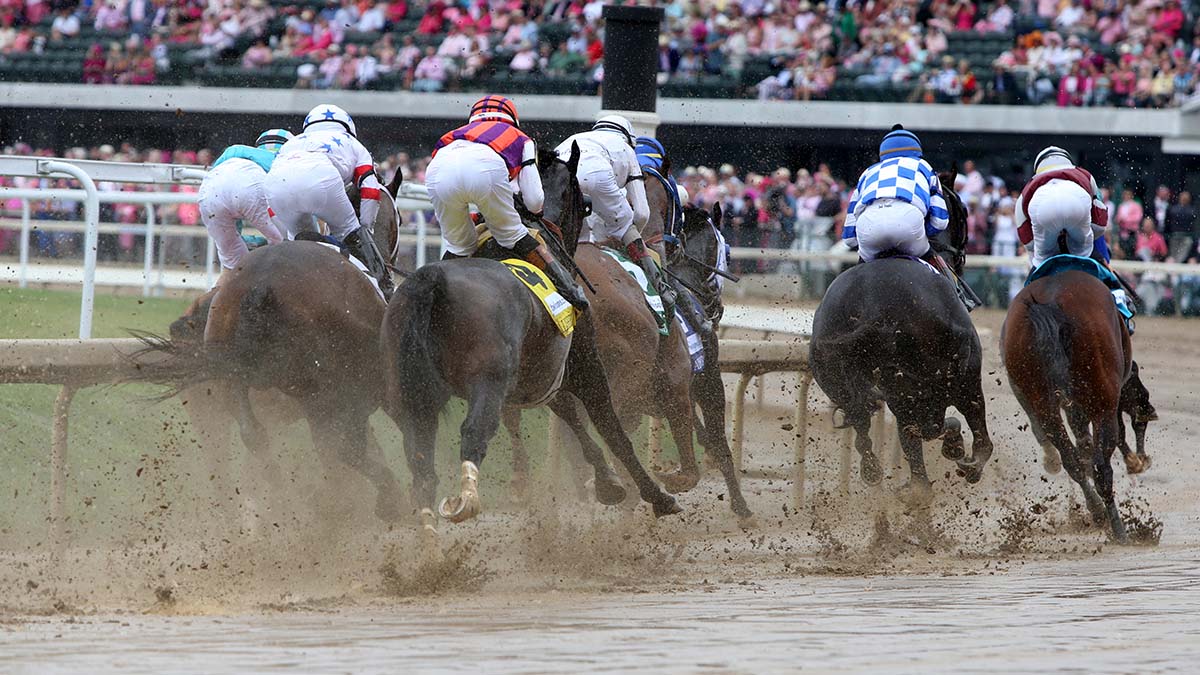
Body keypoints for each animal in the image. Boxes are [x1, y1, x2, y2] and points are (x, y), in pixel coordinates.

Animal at [384, 144, 686, 528]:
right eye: (584, 201)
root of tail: (431, 283)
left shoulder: (547, 374)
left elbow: (572, 418)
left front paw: (607, 480)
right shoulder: (586, 366)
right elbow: (610, 427)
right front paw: (657, 496)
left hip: (410, 389)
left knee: (419, 455)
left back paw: (428, 531)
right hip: (487, 381)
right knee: (474, 432)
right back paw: (465, 501)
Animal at [806, 168, 993, 504]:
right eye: (962, 210)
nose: (962, 257)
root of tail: (871, 309)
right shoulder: (961, 376)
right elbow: (958, 430)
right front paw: (961, 453)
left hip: (836, 375)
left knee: (865, 427)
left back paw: (878, 472)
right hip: (936, 378)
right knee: (939, 425)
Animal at [1003, 254, 1132, 538]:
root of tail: (1049, 304)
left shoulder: (1070, 404)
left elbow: (1081, 446)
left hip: (1041, 400)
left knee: (1071, 458)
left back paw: (1096, 511)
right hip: (1102, 395)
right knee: (1101, 465)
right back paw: (1119, 529)